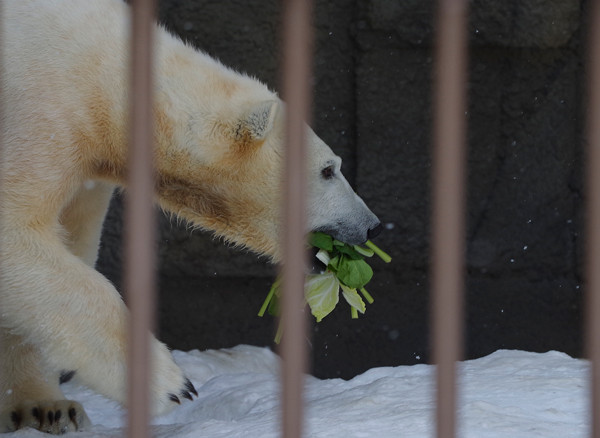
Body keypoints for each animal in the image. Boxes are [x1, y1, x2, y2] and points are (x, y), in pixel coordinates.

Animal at [0, 0, 382, 432]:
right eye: (328, 170)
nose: (371, 225)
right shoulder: (41, 107)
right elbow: (17, 234)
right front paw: (171, 384)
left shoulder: (84, 166)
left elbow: (66, 240)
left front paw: (45, 406)